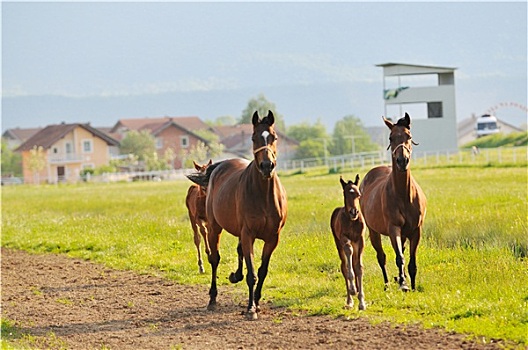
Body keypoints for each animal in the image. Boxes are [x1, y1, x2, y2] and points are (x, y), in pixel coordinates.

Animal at [188, 110, 286, 320]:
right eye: (253, 137)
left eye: (274, 137)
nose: (267, 165)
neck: (263, 195)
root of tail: (219, 166)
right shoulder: (248, 233)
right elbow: (251, 274)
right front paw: (250, 308)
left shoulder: (272, 238)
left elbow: (262, 271)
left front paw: (256, 302)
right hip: (214, 227)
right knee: (215, 259)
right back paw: (212, 298)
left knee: (239, 251)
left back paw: (235, 276)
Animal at [330, 174, 368, 308]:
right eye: (345, 194)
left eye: (359, 195)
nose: (354, 212)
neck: (352, 221)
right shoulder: (344, 239)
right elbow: (349, 255)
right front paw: (352, 290)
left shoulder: (360, 241)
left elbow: (359, 267)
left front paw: (362, 302)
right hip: (338, 244)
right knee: (344, 266)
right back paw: (349, 300)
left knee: (353, 263)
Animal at [358, 113, 428, 292]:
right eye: (391, 138)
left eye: (409, 136)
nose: (402, 161)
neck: (403, 195)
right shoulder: (393, 228)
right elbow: (399, 257)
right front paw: (402, 283)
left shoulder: (416, 231)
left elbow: (411, 261)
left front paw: (412, 285)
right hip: (373, 231)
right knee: (381, 257)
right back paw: (387, 283)